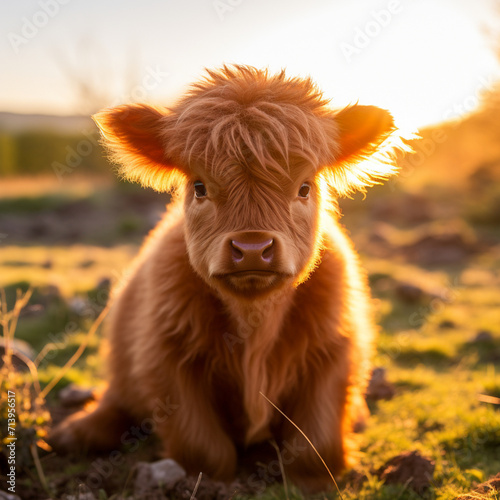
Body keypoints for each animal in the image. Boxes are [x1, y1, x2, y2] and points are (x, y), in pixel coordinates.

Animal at [48, 64, 396, 490]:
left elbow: (318, 445)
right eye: (199, 187)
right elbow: (204, 449)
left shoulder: (335, 351)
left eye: (304, 187)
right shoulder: (163, 359)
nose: (252, 248)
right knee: (115, 402)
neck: (255, 325)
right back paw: (74, 433)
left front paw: (308, 480)